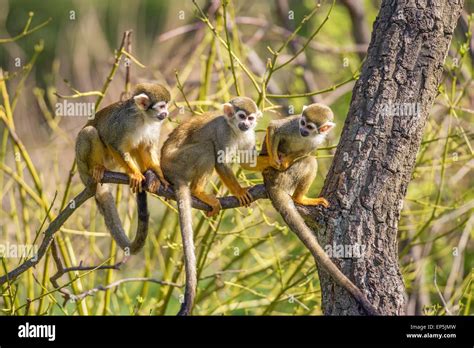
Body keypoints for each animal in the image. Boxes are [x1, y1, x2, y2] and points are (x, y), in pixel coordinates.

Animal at [74, 83, 170, 254]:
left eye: (167, 105)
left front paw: (160, 176)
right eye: (161, 106)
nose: (166, 113)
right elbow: (112, 142)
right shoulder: (124, 122)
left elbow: (146, 148)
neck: (143, 118)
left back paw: (150, 175)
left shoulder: (154, 126)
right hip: (82, 162)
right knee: (90, 132)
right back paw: (97, 168)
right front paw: (134, 174)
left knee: (137, 145)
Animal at [161, 96, 262, 316]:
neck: (235, 130)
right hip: (179, 163)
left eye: (250, 118)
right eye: (241, 116)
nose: (246, 124)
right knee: (208, 147)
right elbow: (221, 161)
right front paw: (239, 192)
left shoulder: (249, 135)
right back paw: (197, 190)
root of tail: (167, 171)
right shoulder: (222, 132)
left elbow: (249, 162)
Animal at [244, 104, 378, 316]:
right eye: (303, 122)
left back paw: (299, 196)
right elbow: (274, 128)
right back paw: (294, 191)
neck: (306, 136)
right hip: (283, 177)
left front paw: (286, 159)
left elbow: (306, 152)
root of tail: (270, 182)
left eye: (310, 127)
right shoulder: (292, 125)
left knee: (308, 158)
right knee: (309, 162)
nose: (303, 130)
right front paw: (275, 160)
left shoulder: (317, 140)